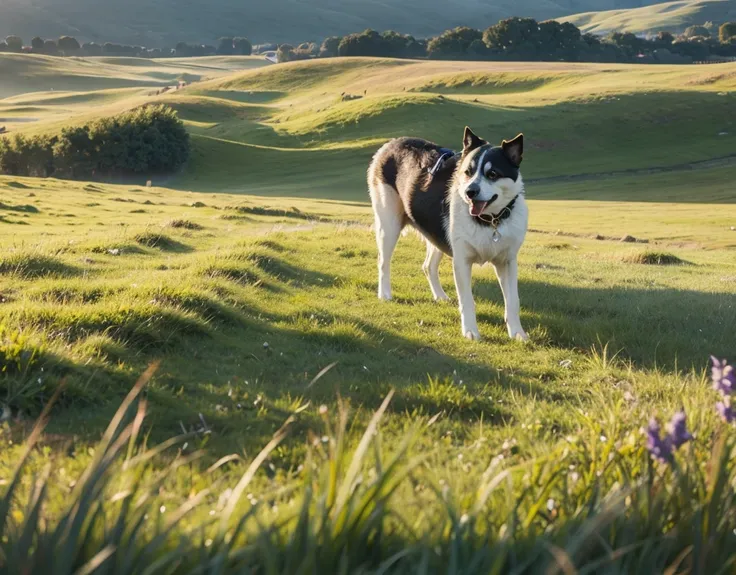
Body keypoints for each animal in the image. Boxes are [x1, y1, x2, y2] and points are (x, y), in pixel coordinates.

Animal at [370, 127, 528, 342]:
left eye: (493, 174)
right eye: (467, 172)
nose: (470, 192)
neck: (489, 220)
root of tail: (390, 143)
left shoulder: (507, 263)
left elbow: (513, 301)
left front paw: (518, 333)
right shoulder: (462, 262)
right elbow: (467, 300)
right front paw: (470, 331)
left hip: (437, 235)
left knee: (428, 266)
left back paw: (440, 296)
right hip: (389, 225)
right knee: (383, 261)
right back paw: (385, 294)